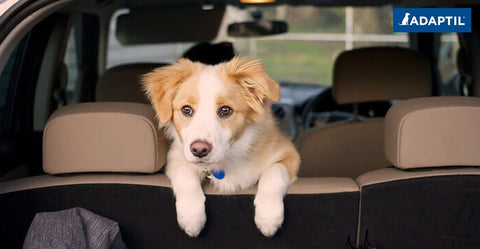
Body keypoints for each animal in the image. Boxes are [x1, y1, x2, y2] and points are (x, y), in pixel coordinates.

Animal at [142, 56, 300, 237]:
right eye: (186, 110)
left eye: (225, 110)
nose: (199, 150)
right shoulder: (176, 157)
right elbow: (185, 174)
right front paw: (191, 216)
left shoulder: (290, 154)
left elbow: (274, 172)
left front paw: (268, 215)